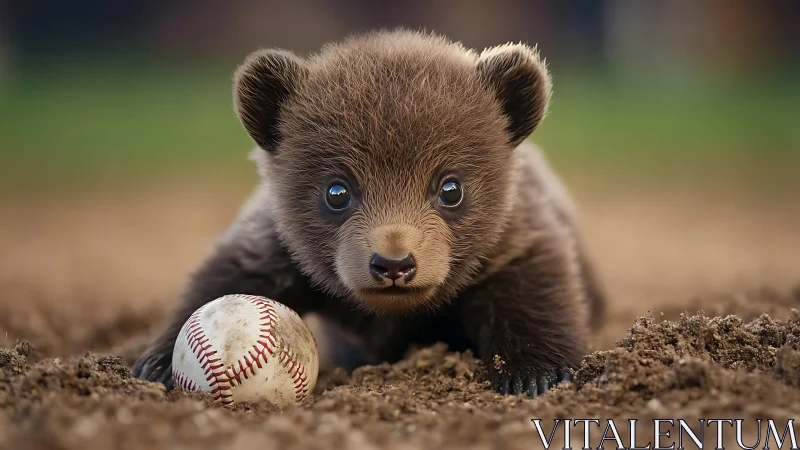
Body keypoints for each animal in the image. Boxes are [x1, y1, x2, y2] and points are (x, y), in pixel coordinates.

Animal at [131, 28, 606, 397]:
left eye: (451, 188)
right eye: (337, 191)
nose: (394, 263)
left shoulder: (511, 241)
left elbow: (533, 293)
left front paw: (538, 374)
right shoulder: (274, 246)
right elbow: (220, 278)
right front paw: (158, 362)